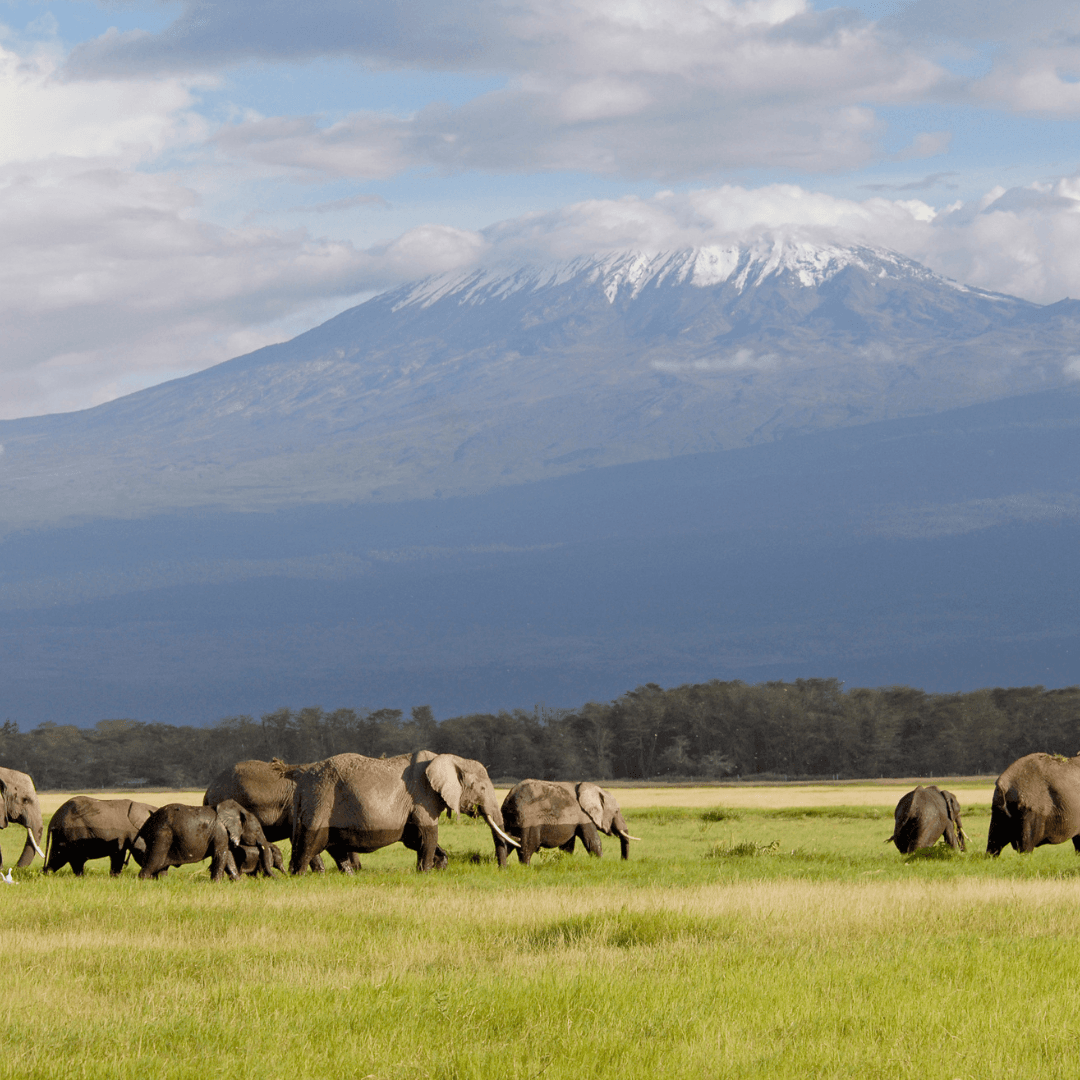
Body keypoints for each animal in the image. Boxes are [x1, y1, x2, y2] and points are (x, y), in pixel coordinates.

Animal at [137, 799, 274, 880]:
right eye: (257, 830)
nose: (275, 879)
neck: (239, 810)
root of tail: (147, 822)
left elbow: (228, 856)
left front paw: (237, 882)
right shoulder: (220, 831)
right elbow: (220, 855)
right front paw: (217, 883)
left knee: (161, 866)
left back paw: (163, 881)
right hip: (162, 835)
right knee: (155, 860)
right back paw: (143, 880)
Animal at [280, 750, 519, 873]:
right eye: (482, 788)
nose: (502, 870)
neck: (451, 759)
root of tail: (301, 782)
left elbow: (414, 838)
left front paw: (439, 866)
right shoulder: (422, 796)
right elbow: (428, 834)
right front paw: (426, 872)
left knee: (333, 845)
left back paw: (347, 875)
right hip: (321, 798)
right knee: (312, 840)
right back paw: (299, 876)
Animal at [497, 780, 639, 866]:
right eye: (616, 811)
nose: (623, 861)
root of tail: (509, 798)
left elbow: (568, 846)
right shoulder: (584, 816)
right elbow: (592, 841)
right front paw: (600, 863)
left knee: (507, 843)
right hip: (528, 822)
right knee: (526, 848)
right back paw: (526, 867)